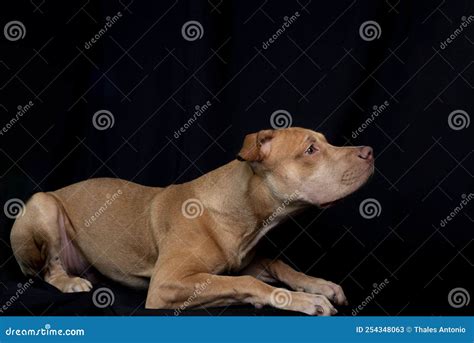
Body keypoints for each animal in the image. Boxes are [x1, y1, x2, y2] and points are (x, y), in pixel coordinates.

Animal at [9, 127, 374, 316]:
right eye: (311, 150)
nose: (369, 151)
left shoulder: (245, 260)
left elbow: (279, 264)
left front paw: (318, 284)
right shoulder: (168, 284)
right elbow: (247, 283)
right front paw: (303, 300)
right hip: (42, 206)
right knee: (47, 270)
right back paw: (70, 282)